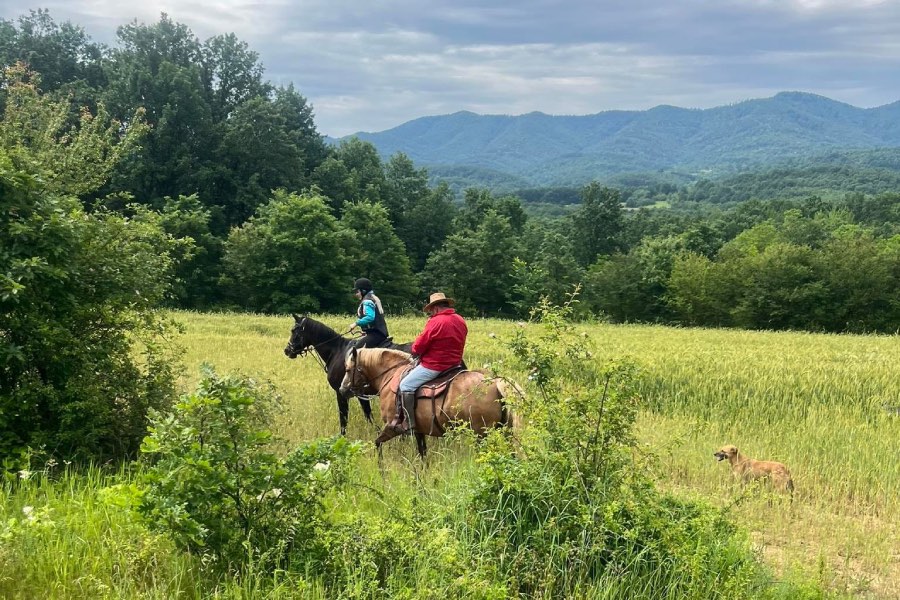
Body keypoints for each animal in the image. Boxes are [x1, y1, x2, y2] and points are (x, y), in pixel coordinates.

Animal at [284, 314, 414, 436]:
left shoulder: (341, 393)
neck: (336, 351)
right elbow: (368, 415)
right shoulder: (360, 394)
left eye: (294, 330)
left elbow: (344, 418)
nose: (287, 350)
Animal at [338, 346, 520, 454]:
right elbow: (422, 453)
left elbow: (378, 444)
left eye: (347, 369)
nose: (342, 390)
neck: (390, 375)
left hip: (482, 435)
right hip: (503, 433)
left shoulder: (391, 427)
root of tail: (495, 382)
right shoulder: (419, 431)